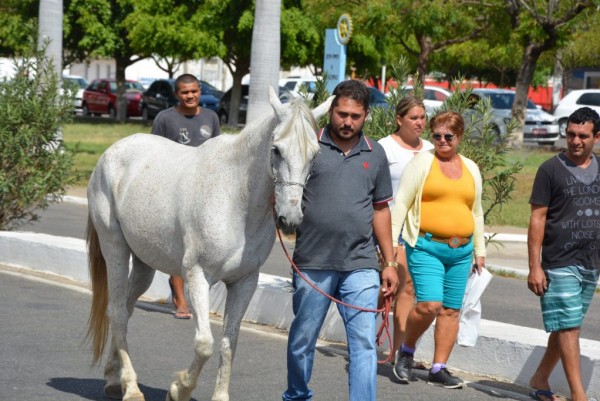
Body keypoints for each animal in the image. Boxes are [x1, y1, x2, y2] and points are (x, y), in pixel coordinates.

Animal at [85, 89, 332, 400]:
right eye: (276, 149)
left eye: (315, 154)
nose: (290, 219)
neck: (235, 199)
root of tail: (110, 153)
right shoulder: (197, 276)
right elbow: (205, 344)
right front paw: (179, 388)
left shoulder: (244, 282)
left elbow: (229, 342)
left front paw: (219, 395)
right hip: (115, 249)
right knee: (116, 312)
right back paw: (130, 388)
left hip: (144, 263)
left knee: (126, 310)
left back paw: (112, 377)